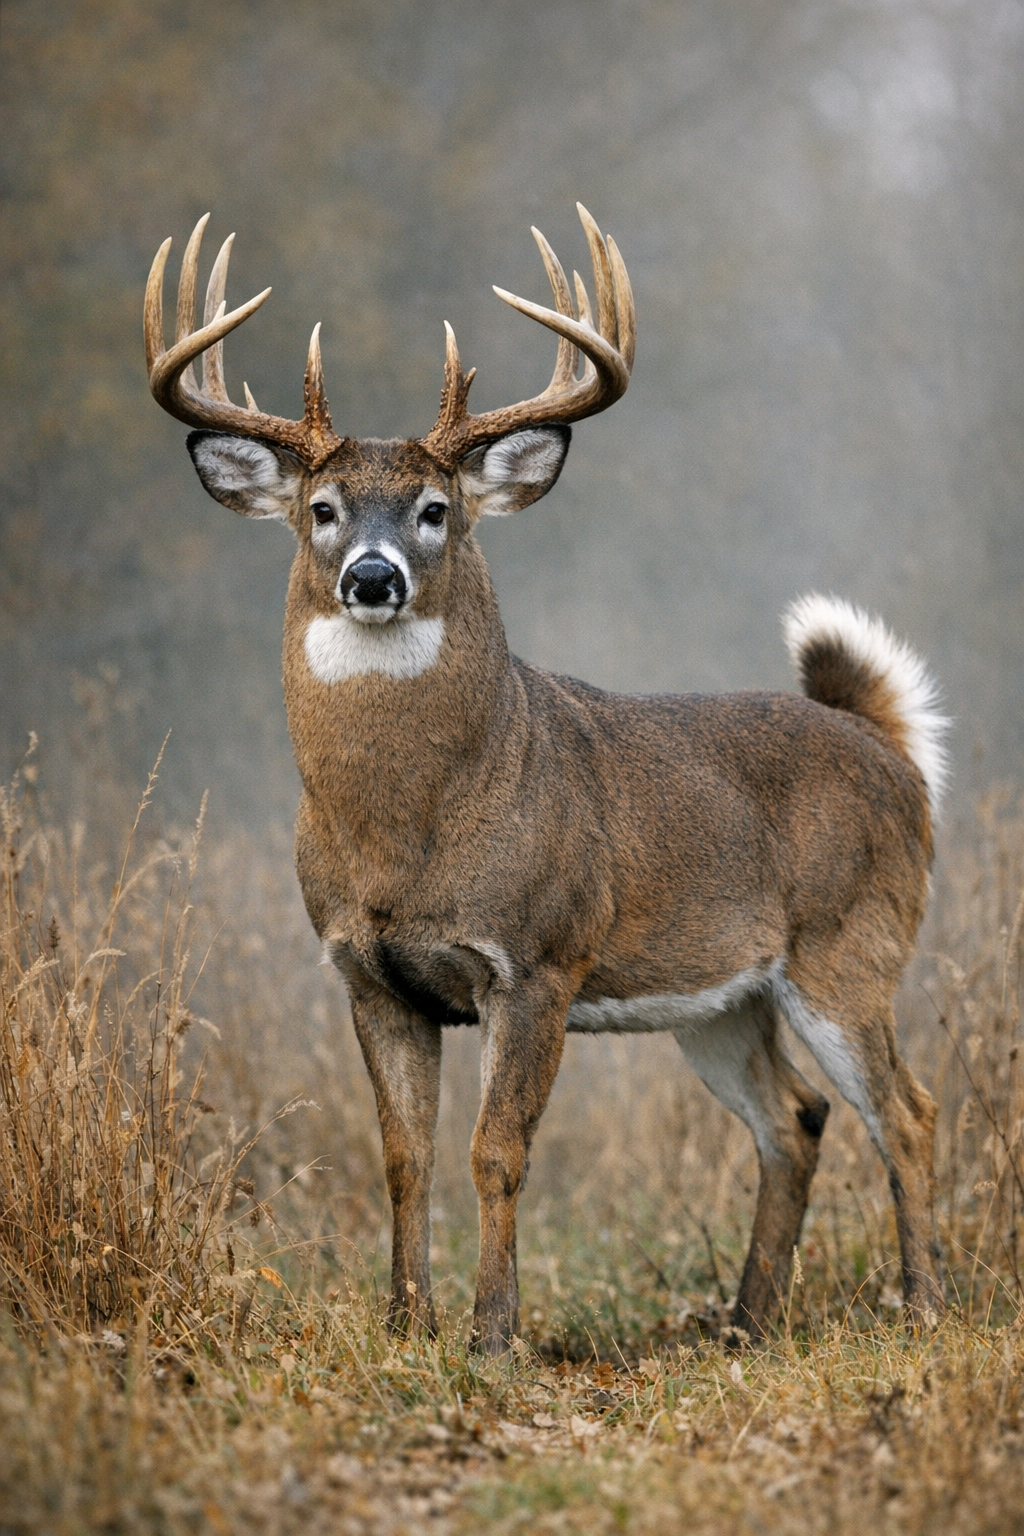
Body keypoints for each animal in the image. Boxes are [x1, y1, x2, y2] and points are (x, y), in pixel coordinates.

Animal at [144, 205, 948, 1353]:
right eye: (323, 509)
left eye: (436, 508)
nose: (373, 578)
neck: (407, 834)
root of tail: (886, 748)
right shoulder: (363, 971)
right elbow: (402, 1155)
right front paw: (406, 1324)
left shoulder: (537, 956)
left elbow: (496, 1151)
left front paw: (492, 1335)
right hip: (722, 995)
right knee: (795, 1117)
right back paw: (745, 1323)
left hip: (851, 941)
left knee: (909, 1112)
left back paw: (921, 1307)